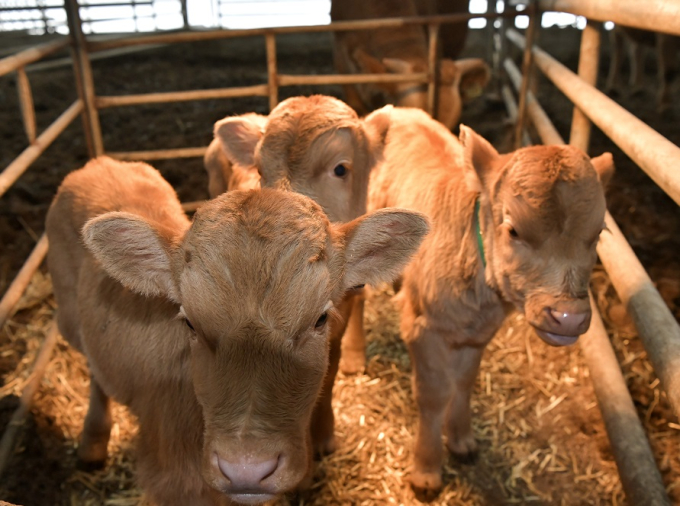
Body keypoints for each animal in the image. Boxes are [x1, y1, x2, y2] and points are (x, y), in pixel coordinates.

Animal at [348, 107, 612, 490]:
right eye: (513, 230)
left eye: (598, 235)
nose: (569, 316)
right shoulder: (424, 327)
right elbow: (434, 395)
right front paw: (426, 470)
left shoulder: (479, 333)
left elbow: (463, 383)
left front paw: (462, 441)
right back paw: (354, 357)